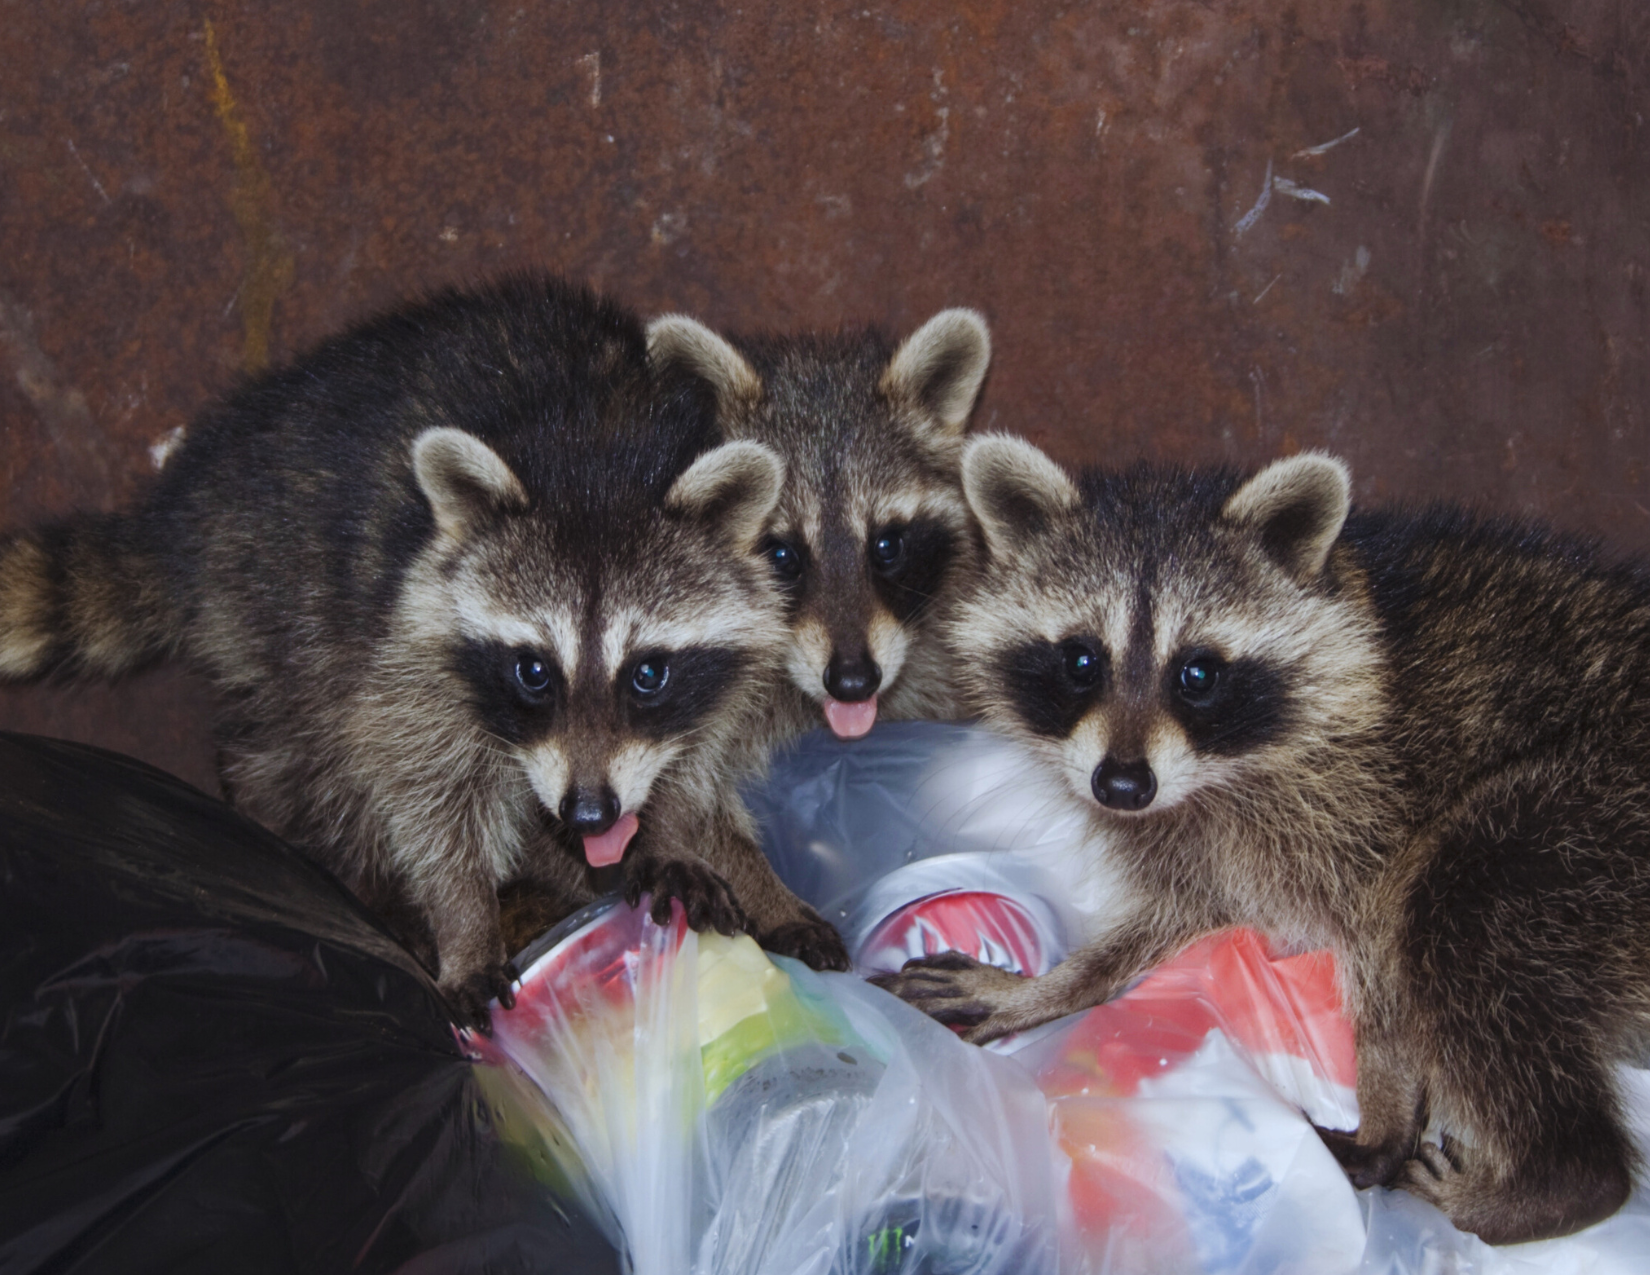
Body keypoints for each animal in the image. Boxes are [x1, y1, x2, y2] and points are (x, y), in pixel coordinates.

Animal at [0, 278, 825, 1022]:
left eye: (648, 672)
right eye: (533, 670)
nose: (590, 813)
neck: (600, 461)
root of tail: (190, 502)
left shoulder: (734, 656)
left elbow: (698, 755)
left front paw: (679, 840)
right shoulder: (409, 630)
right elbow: (423, 783)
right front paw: (464, 921)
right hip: (285, 595)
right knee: (315, 753)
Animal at [884, 435, 1650, 1240]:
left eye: (1197, 673)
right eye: (1081, 660)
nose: (1121, 786)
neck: (1219, 774)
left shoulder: (1372, 801)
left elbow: (1386, 957)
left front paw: (1386, 1101)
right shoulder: (1195, 834)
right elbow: (1179, 911)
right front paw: (1054, 986)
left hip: (1586, 814)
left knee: (1460, 912)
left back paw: (1554, 1178)